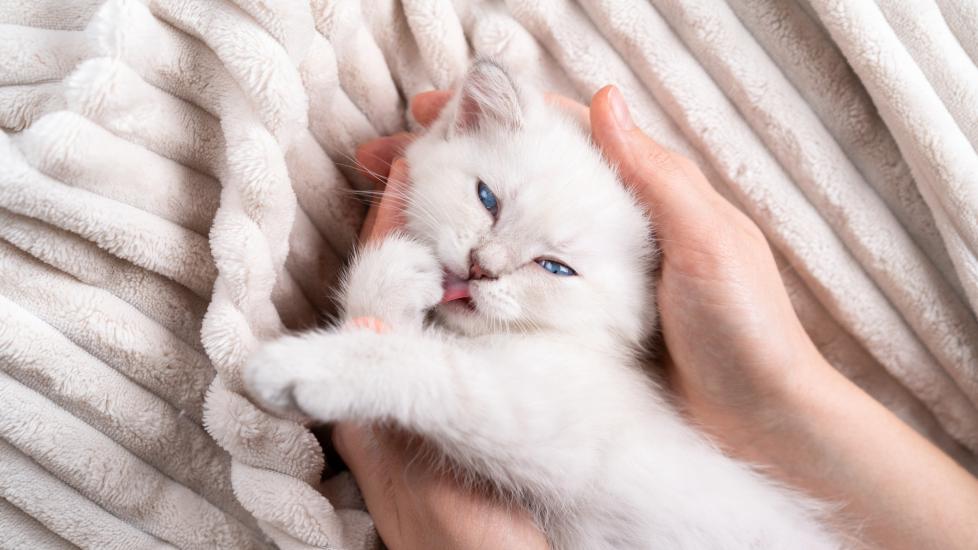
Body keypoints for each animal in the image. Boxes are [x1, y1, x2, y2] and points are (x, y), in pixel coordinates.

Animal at [246, 60, 848, 550]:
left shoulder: (546, 423)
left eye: (555, 268)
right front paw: (399, 273)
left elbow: (423, 366)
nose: (480, 267)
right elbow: (384, 325)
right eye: (487, 199)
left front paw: (306, 370)